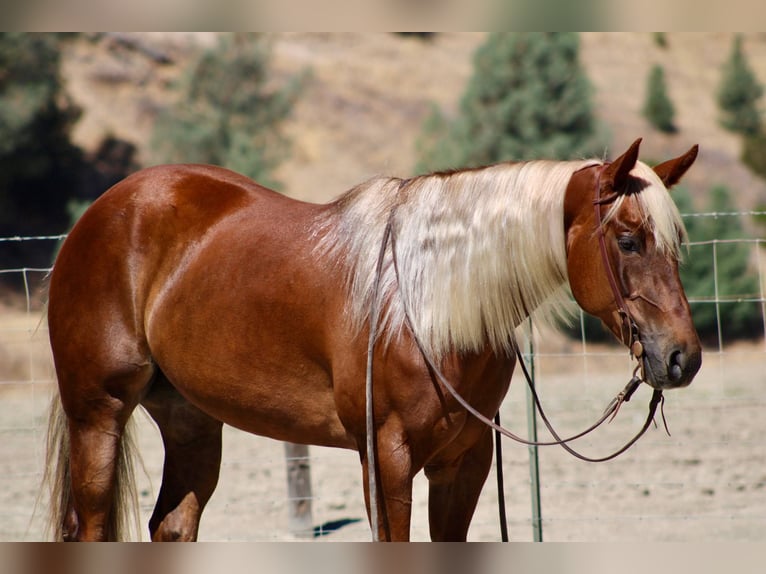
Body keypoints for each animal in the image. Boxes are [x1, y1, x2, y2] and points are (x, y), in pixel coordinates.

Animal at [43, 138, 701, 541]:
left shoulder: (465, 462)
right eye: (628, 240)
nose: (682, 357)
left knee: (173, 525)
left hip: (191, 422)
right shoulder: (386, 459)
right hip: (98, 414)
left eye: (675, 244)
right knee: (91, 527)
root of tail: (100, 213)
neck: (430, 306)